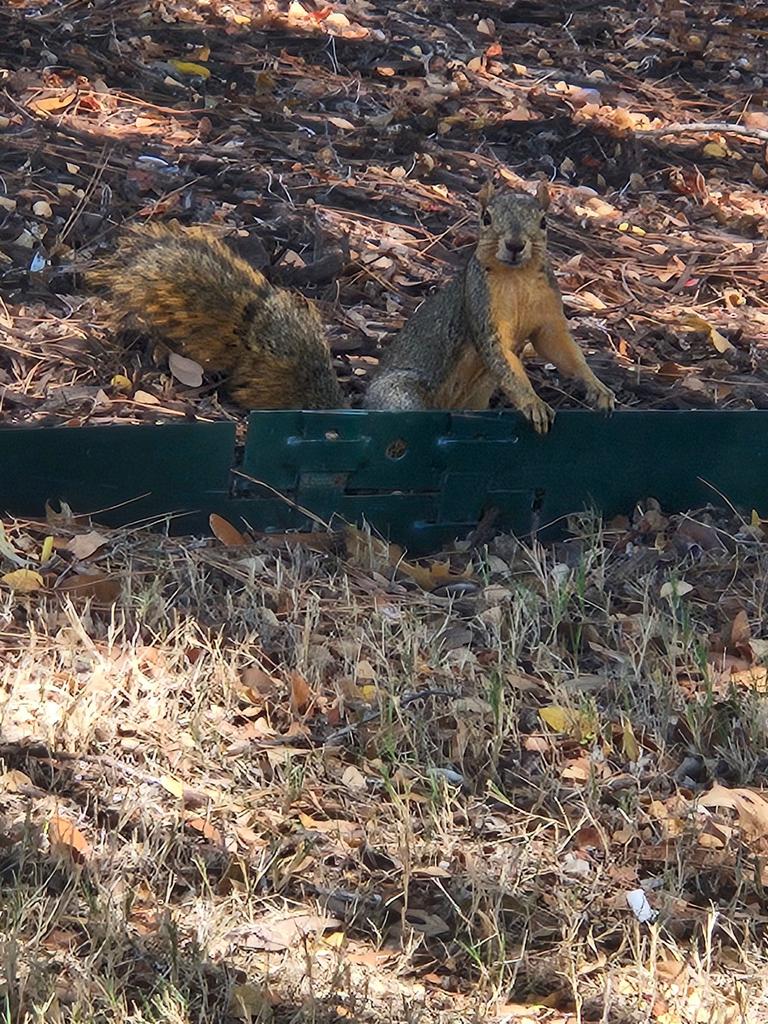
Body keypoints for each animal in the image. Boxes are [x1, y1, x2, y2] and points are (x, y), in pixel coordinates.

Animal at [365, 181, 615, 432]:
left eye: (544, 222)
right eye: (486, 218)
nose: (515, 245)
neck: (517, 276)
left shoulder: (548, 314)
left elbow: (558, 347)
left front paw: (598, 388)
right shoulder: (482, 306)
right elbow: (502, 359)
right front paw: (533, 402)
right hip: (401, 396)